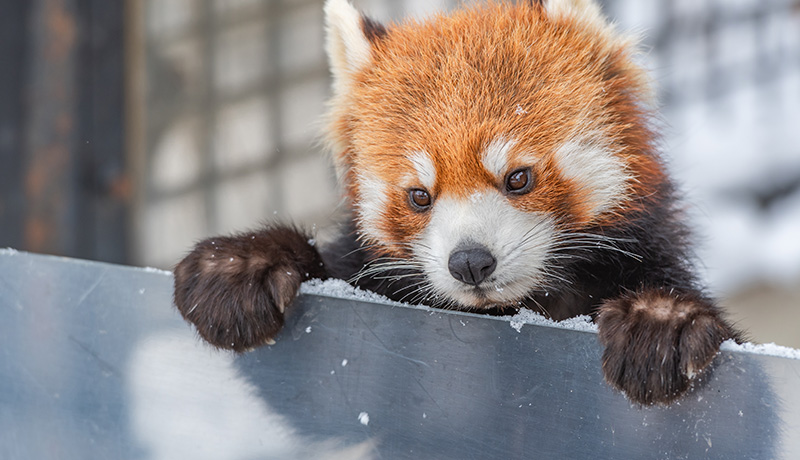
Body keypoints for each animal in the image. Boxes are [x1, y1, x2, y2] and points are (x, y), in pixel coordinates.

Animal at [175, 0, 744, 404]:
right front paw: (240, 266)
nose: (470, 261)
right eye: (419, 196)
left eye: (518, 178)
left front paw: (661, 321)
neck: (516, 307)